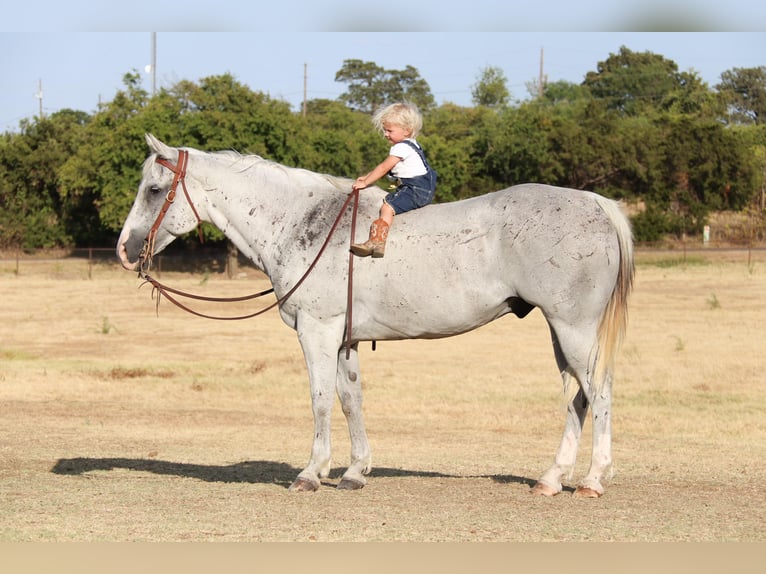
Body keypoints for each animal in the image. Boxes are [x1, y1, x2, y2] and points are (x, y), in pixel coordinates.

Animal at [120, 135, 636, 500]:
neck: (303, 222)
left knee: (599, 393)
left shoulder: (318, 331)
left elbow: (320, 400)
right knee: (578, 398)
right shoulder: (344, 339)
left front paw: (312, 472)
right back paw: (552, 478)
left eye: (155, 189)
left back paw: (593, 479)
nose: (125, 249)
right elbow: (351, 401)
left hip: (575, 330)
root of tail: (595, 203)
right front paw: (354, 471)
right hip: (561, 333)